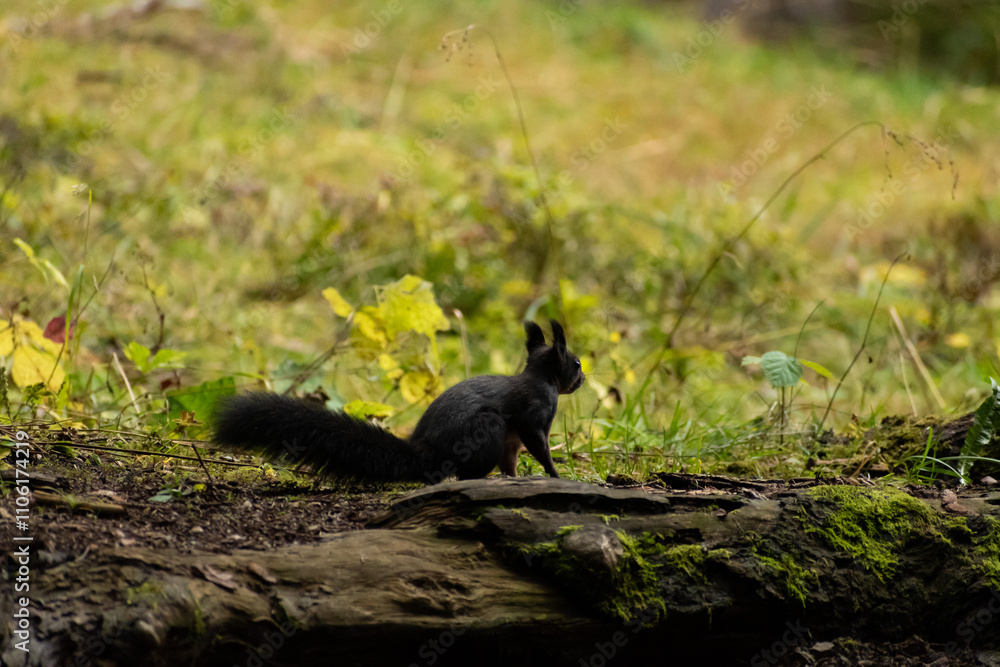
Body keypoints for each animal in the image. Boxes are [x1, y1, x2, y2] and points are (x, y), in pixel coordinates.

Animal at [211, 320, 585, 484]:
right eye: (577, 363)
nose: (582, 380)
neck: (541, 378)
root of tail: (426, 450)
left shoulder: (512, 439)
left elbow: (511, 458)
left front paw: (514, 478)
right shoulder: (535, 413)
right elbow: (539, 445)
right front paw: (556, 474)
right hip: (485, 428)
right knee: (465, 473)